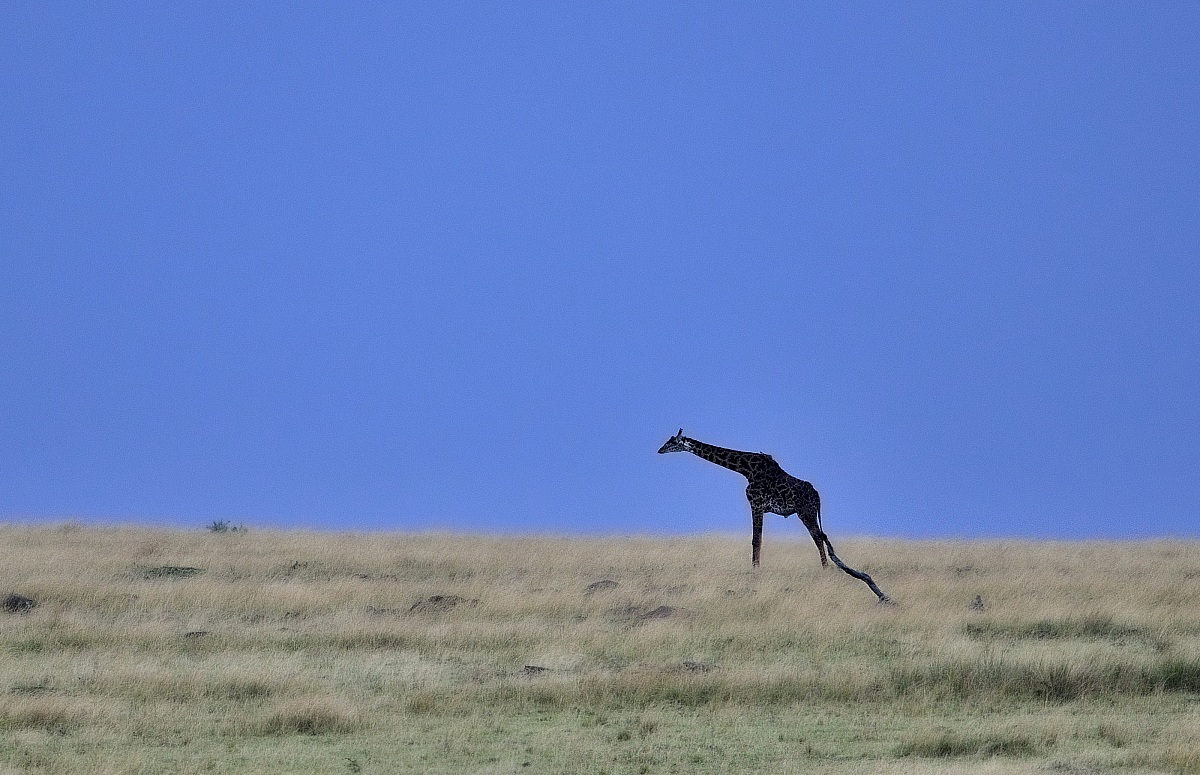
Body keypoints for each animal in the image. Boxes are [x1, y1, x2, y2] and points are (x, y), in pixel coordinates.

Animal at [657, 430, 891, 603]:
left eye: (672, 442)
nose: (659, 450)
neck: (745, 468)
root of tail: (817, 496)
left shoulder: (756, 504)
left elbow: (756, 540)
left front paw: (755, 571)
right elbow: (758, 539)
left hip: (805, 513)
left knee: (818, 538)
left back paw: (826, 570)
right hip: (808, 514)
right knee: (822, 538)